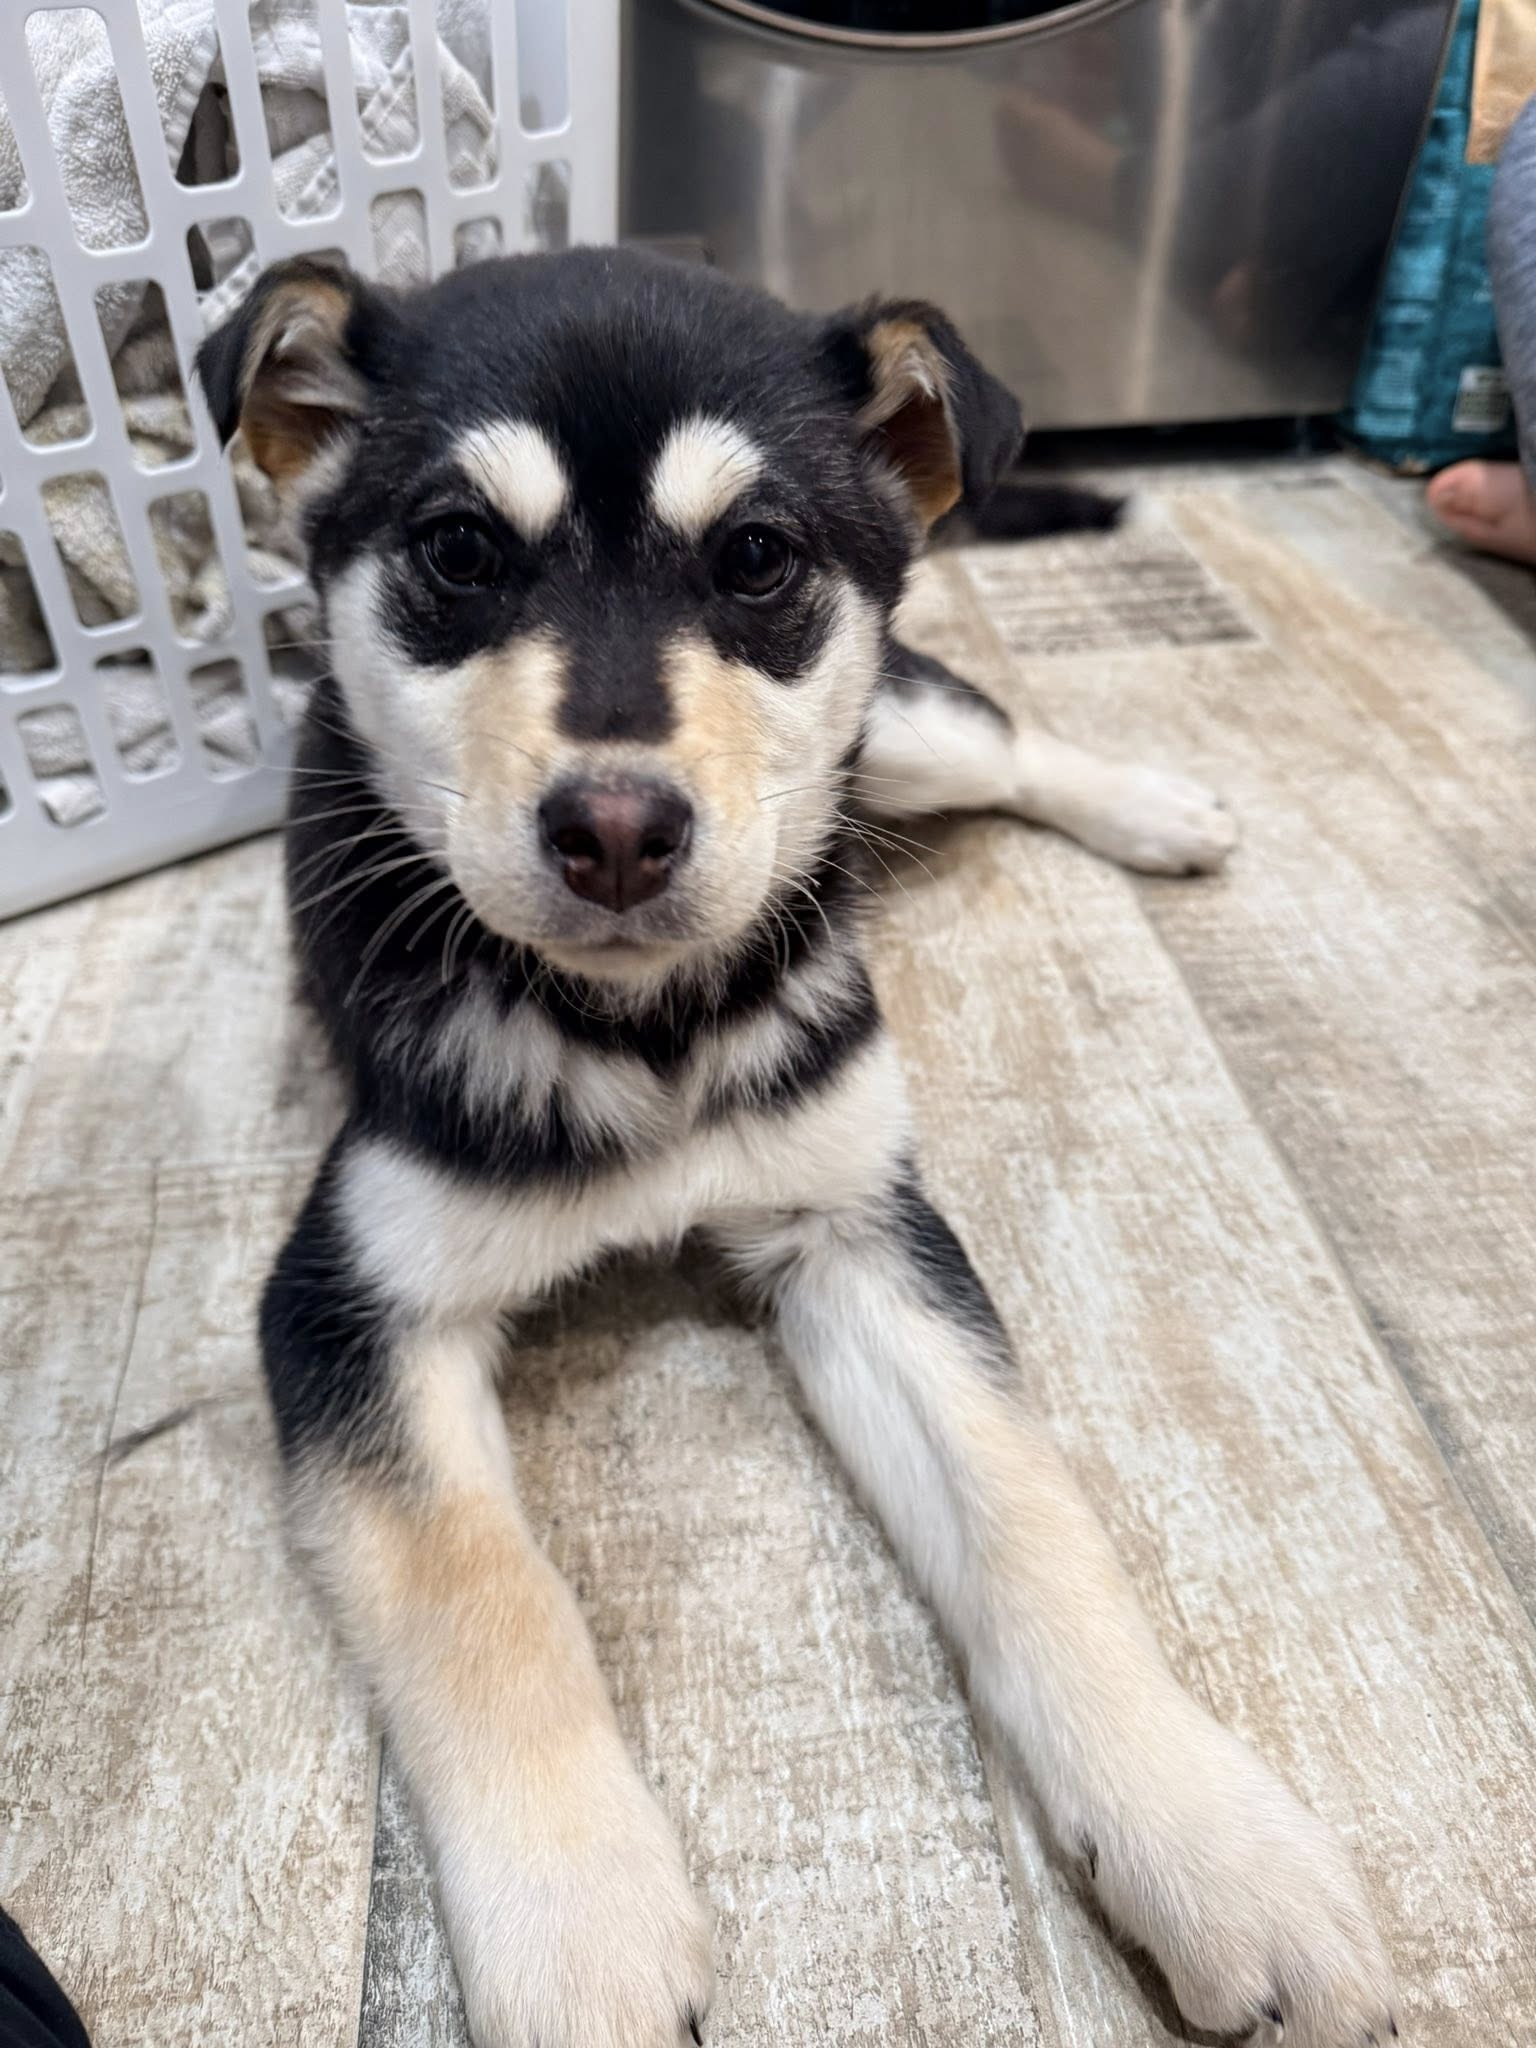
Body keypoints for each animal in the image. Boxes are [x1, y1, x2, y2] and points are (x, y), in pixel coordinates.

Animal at [197, 246, 1394, 2048]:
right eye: (460, 553)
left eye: (756, 559)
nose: (617, 831)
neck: (644, 1029)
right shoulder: (355, 1295)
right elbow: (485, 1593)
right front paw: (580, 1930)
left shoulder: (859, 1224)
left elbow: (1029, 1512)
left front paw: (1201, 1830)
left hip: (891, 726)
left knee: (1002, 735)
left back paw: (1154, 811)